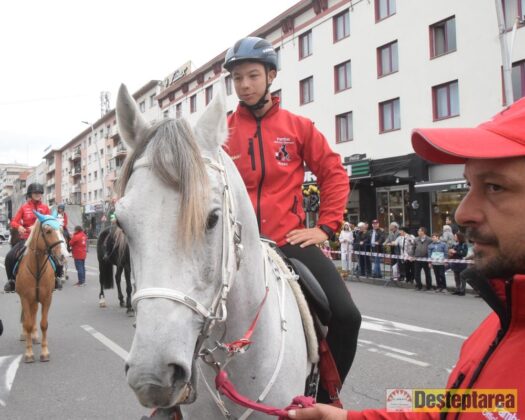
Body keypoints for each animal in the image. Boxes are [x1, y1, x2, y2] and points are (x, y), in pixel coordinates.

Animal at [16, 211, 69, 363]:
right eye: (48, 231)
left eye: (61, 229)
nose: (64, 256)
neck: (37, 268)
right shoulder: (25, 298)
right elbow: (27, 323)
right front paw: (28, 353)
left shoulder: (47, 298)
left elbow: (44, 324)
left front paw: (44, 352)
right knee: (27, 317)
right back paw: (26, 335)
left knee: (33, 314)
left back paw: (34, 336)